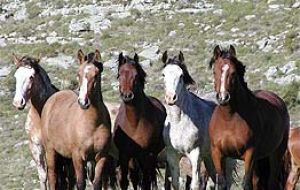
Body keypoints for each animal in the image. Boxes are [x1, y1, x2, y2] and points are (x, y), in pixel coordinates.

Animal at [11, 54, 74, 189]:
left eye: (31, 76)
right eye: (16, 76)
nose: (18, 102)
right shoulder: (36, 147)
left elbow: (55, 176)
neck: (40, 117)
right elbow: (44, 176)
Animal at [41, 49, 113, 190]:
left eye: (96, 75)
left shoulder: (101, 156)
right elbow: (80, 184)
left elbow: (97, 183)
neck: (93, 124)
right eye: (78, 74)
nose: (83, 102)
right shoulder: (78, 156)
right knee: (52, 177)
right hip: (50, 151)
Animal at [113, 52, 166, 190]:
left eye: (136, 75)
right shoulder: (124, 155)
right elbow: (124, 182)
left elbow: (146, 183)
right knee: (135, 178)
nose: (127, 96)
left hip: (151, 157)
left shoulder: (145, 156)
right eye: (119, 75)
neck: (134, 123)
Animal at [162, 51, 237, 189]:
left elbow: (195, 184)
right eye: (163, 74)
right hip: (210, 157)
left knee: (227, 181)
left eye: (181, 75)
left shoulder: (195, 154)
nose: (171, 98)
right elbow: (175, 183)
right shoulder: (172, 155)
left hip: (228, 158)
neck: (179, 122)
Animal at [207, 45, 290, 190]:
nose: (223, 97)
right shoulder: (217, 153)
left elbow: (246, 183)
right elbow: (222, 183)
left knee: (271, 182)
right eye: (214, 71)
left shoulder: (250, 154)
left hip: (275, 154)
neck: (229, 119)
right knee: (257, 181)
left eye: (233, 72)